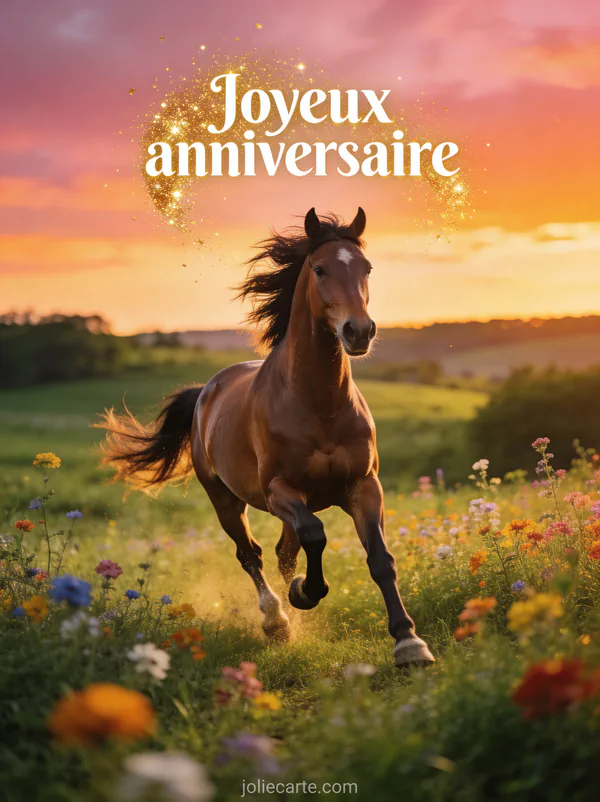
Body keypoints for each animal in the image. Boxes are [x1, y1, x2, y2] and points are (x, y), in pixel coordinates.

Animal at [98, 208, 434, 667]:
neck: (319, 405)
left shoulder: (364, 486)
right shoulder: (279, 490)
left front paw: (409, 642)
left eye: (366, 268)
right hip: (225, 500)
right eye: (319, 269)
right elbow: (314, 534)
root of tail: (206, 391)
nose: (359, 331)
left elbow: (380, 559)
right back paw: (277, 620)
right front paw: (306, 593)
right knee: (252, 553)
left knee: (282, 550)